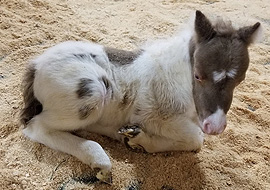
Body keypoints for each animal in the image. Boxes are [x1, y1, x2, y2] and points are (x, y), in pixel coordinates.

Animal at [20, 10, 262, 183]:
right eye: (198, 75)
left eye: (240, 79)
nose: (216, 126)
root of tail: (36, 66)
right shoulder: (158, 117)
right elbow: (196, 139)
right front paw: (139, 139)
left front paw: (136, 140)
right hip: (93, 92)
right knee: (37, 128)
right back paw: (101, 161)